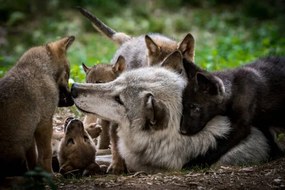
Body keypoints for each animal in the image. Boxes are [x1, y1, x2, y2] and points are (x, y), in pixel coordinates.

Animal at [0, 36, 74, 177]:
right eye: (67, 75)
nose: (73, 99)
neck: (41, 69)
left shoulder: (31, 131)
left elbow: (33, 158)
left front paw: (37, 174)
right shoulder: (44, 124)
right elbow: (46, 154)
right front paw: (50, 175)